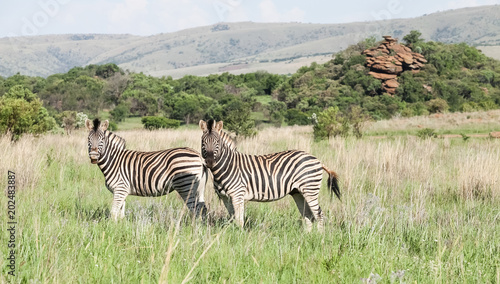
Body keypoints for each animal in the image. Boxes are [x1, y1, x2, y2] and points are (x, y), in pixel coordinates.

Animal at [199, 119, 340, 231]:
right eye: (203, 142)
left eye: (217, 142)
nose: (210, 162)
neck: (227, 166)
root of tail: (317, 160)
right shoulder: (225, 197)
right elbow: (233, 218)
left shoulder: (237, 195)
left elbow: (239, 220)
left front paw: (239, 237)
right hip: (298, 192)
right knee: (308, 215)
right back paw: (307, 237)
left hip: (310, 189)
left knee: (319, 215)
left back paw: (319, 238)